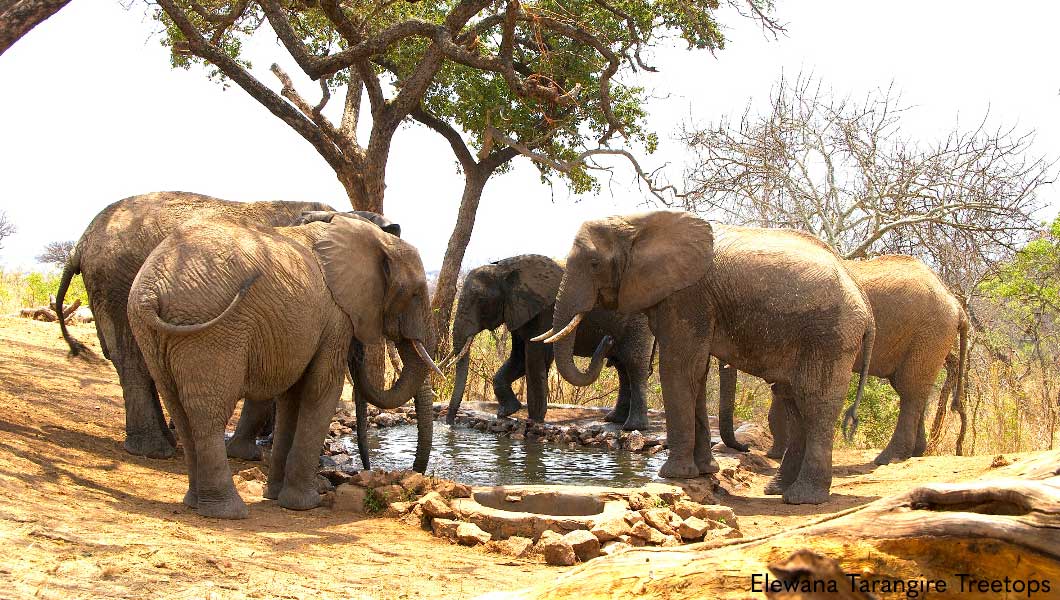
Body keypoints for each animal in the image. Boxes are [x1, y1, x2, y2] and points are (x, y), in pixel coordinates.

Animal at [128, 214, 438, 519]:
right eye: (415, 294)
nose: (414, 473)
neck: (376, 238)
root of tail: (150, 292)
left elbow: (292, 397)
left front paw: (276, 497)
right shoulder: (335, 316)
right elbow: (322, 390)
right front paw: (305, 504)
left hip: (151, 333)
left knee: (179, 408)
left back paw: (195, 503)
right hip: (209, 330)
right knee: (209, 414)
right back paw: (228, 512)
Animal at [438, 255, 652, 432]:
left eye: (481, 300)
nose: (450, 424)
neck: (505, 269)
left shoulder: (545, 312)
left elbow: (534, 357)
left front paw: (534, 421)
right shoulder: (519, 311)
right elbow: (518, 359)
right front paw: (507, 412)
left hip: (637, 322)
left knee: (633, 364)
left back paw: (632, 427)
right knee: (623, 367)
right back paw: (614, 419)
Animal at [542, 214, 873, 506]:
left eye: (594, 264)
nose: (608, 340)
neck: (638, 221)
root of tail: (865, 305)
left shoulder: (687, 296)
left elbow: (679, 368)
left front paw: (674, 475)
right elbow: (695, 374)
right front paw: (703, 472)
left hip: (830, 335)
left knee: (814, 403)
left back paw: (803, 498)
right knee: (795, 403)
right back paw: (779, 490)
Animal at [720, 254, 970, 466]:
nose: (745, 448)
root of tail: (956, 305)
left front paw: (775, 456)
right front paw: (776, 455)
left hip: (930, 333)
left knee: (909, 389)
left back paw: (887, 459)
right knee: (913, 389)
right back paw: (915, 453)